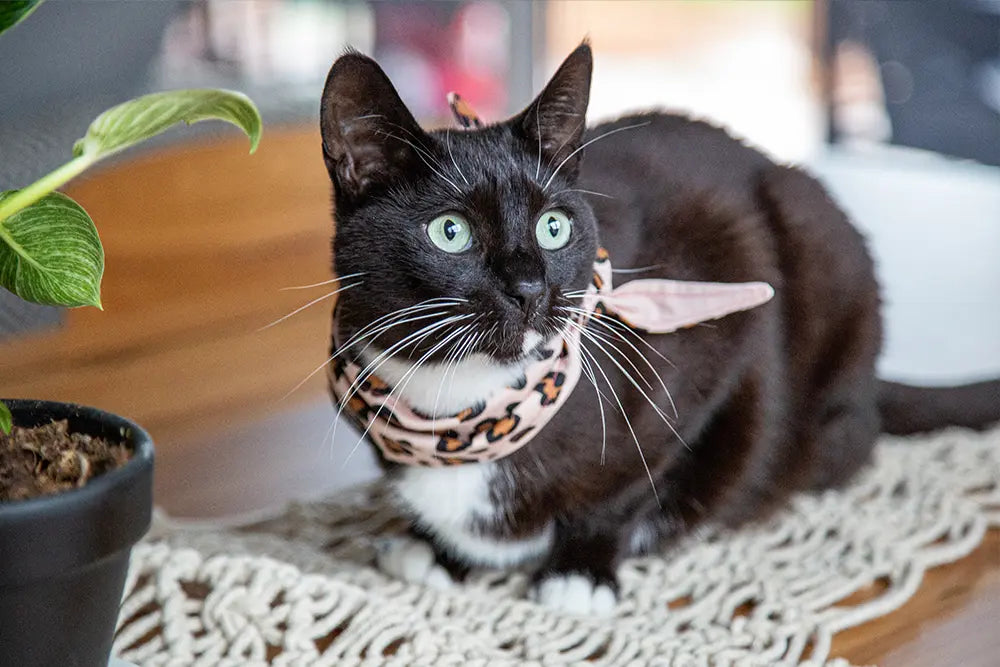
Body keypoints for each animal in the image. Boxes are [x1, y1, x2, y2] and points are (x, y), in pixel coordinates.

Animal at [322, 43, 1000, 616]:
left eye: (553, 227)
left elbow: (634, 481)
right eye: (450, 232)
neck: (464, 402)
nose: (531, 289)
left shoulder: (725, 293)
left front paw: (579, 571)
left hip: (818, 234)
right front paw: (437, 550)